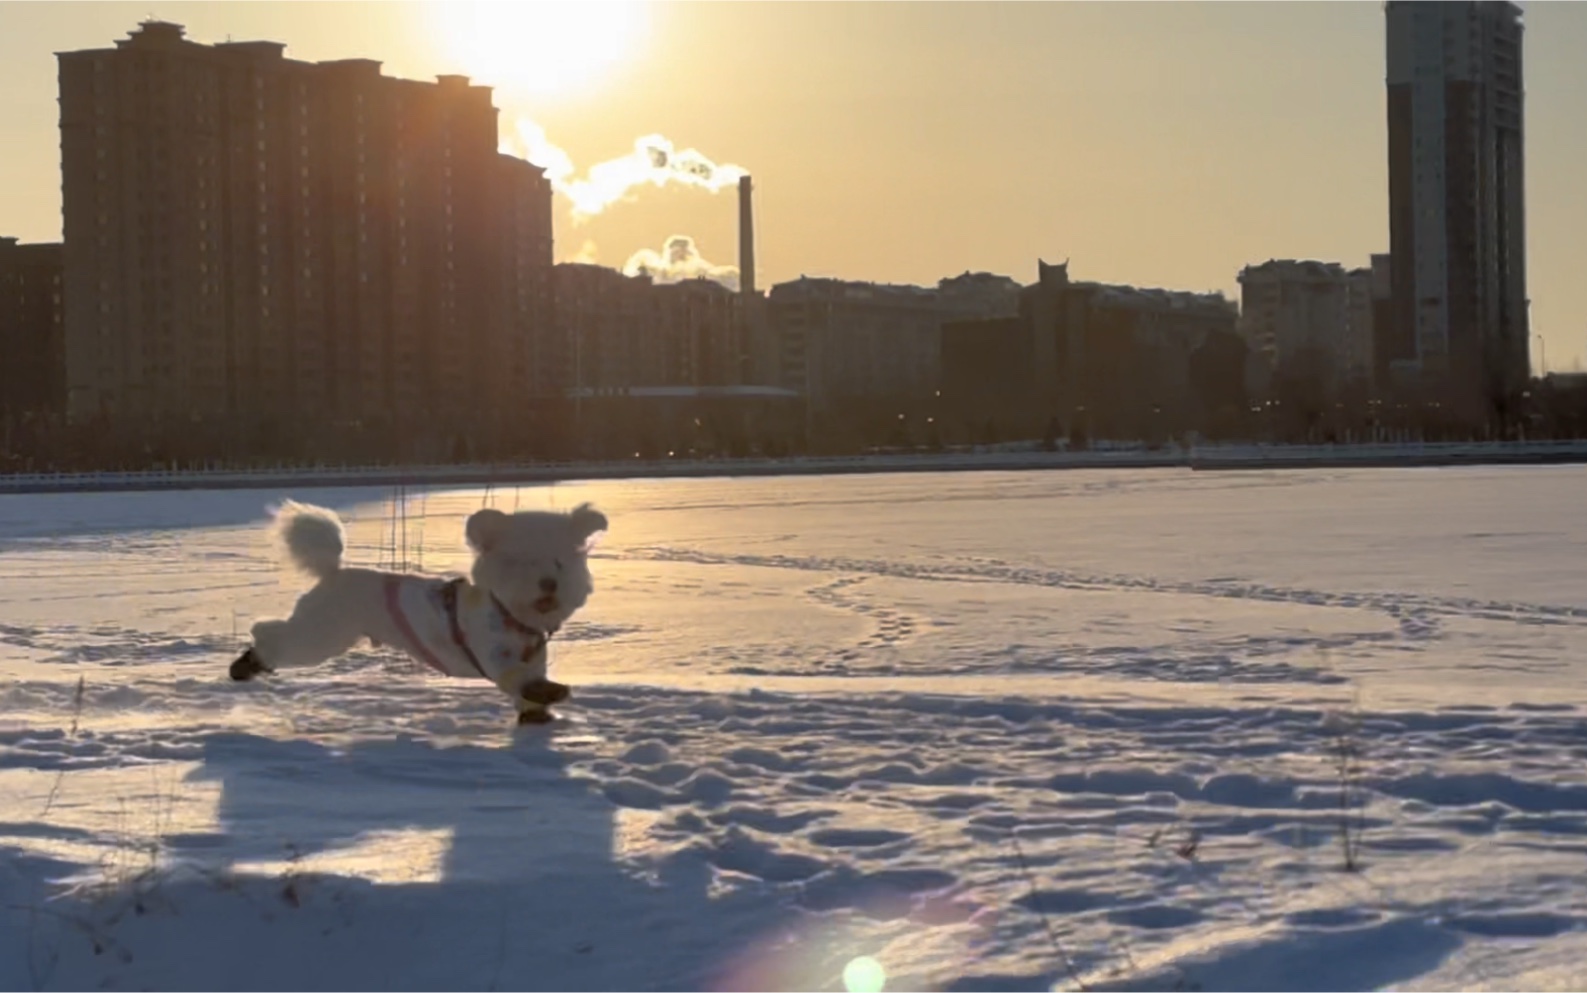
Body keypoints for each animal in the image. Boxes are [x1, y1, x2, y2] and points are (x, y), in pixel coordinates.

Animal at [230, 498, 606, 723]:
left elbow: (531, 692)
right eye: (524, 562)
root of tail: (334, 572)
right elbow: (519, 680)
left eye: (560, 562)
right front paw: (553, 693)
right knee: (274, 635)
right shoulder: (493, 654)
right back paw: (245, 665)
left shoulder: (534, 659)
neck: (510, 615)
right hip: (324, 630)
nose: (548, 584)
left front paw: (540, 717)